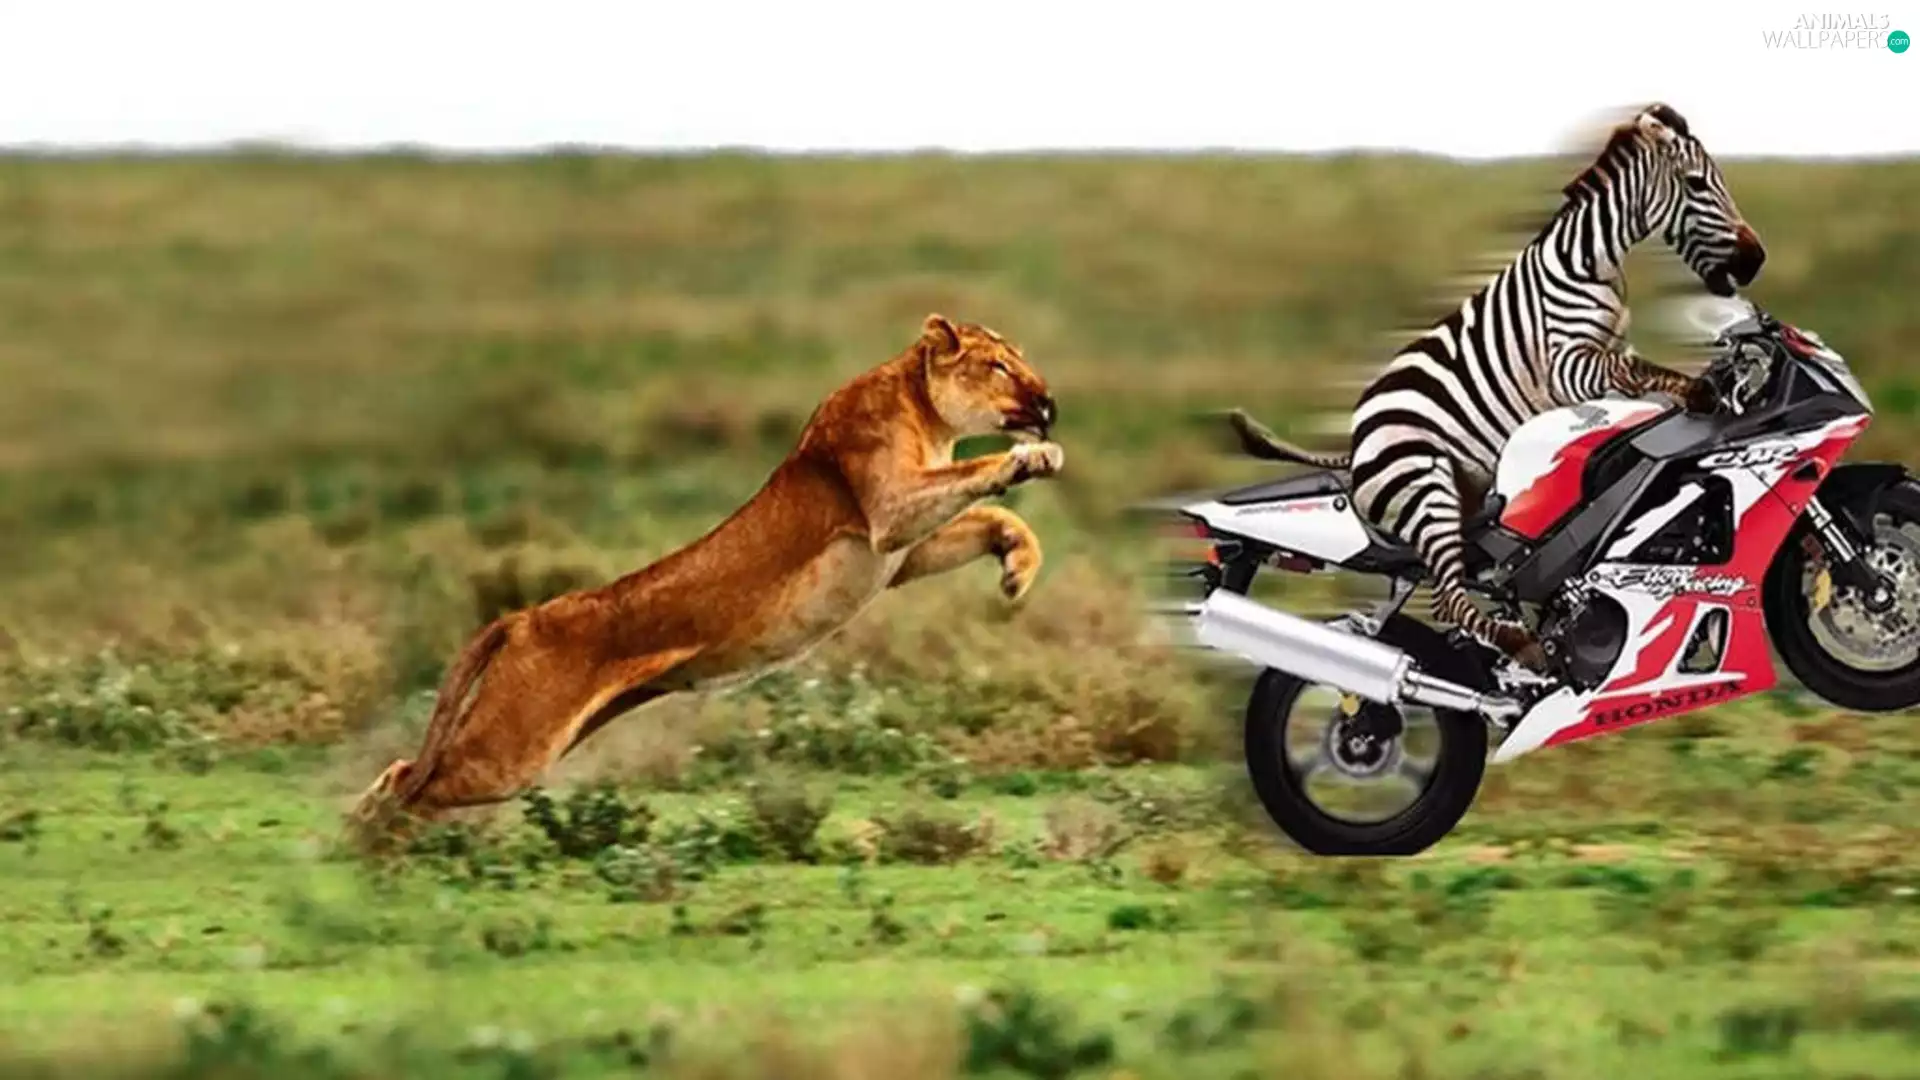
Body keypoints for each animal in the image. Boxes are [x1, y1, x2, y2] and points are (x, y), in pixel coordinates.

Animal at [349, 314, 1062, 846]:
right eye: (999, 367)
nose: (1050, 406)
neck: (929, 414)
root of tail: (523, 616)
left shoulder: (897, 555)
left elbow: (991, 516)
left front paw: (1016, 565)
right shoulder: (886, 509)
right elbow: (979, 477)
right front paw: (1030, 457)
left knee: (410, 779)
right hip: (509, 749)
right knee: (407, 782)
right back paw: (364, 861)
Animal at [1225, 103, 1766, 672]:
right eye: (1697, 183)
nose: (1756, 260)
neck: (1590, 264)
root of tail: (1355, 442)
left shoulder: (1600, 360)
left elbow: (1633, 380)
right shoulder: (1566, 363)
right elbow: (1633, 370)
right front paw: (1703, 393)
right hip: (1428, 483)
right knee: (1448, 595)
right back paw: (1522, 646)